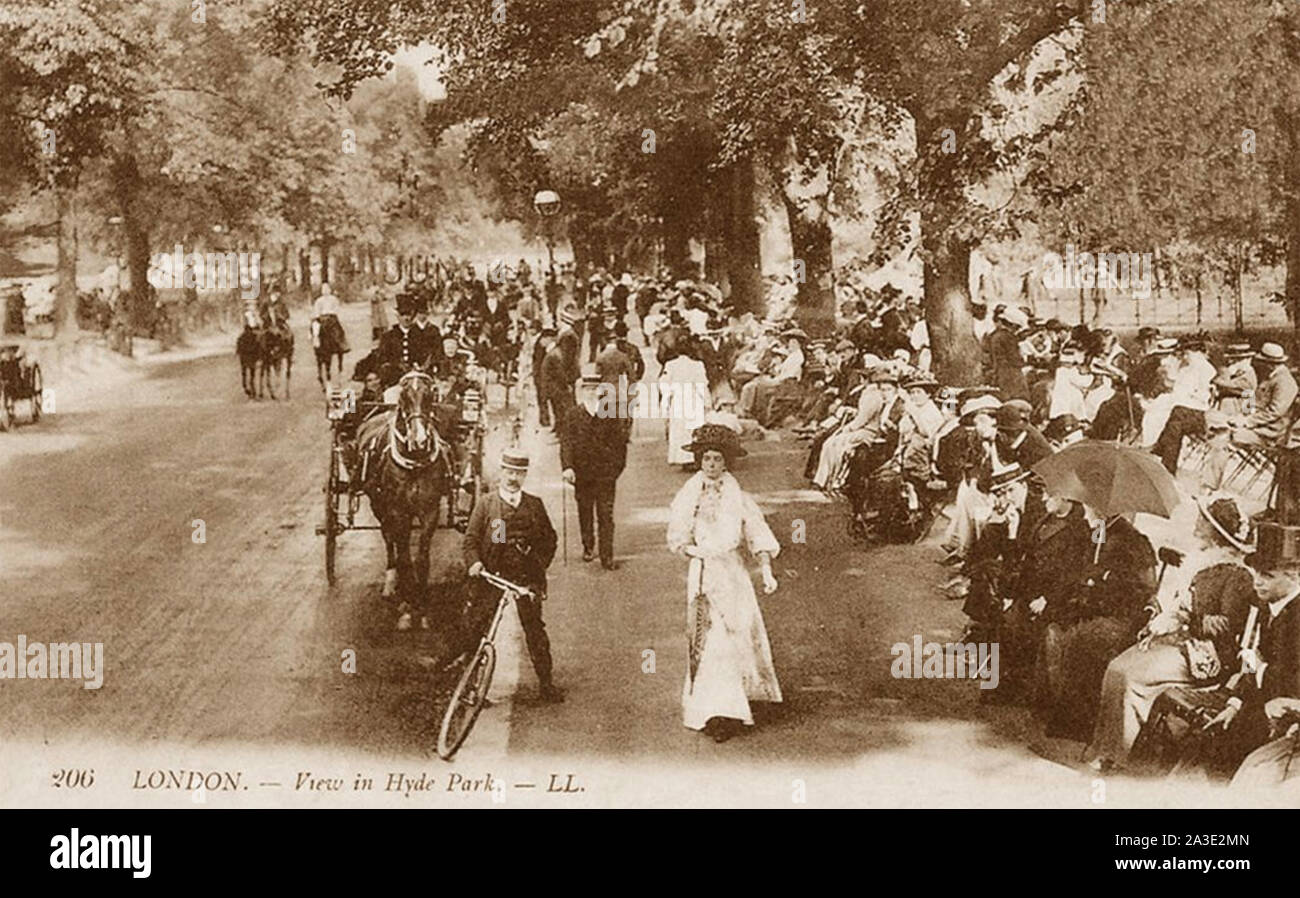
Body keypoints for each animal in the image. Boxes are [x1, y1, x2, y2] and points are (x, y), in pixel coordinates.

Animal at [361, 369, 452, 628]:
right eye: (404, 395)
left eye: (430, 394)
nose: (419, 439)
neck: (414, 463)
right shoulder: (397, 511)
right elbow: (404, 557)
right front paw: (407, 607)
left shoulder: (429, 511)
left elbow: (421, 558)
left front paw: (421, 605)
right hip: (378, 505)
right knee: (388, 538)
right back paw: (392, 581)